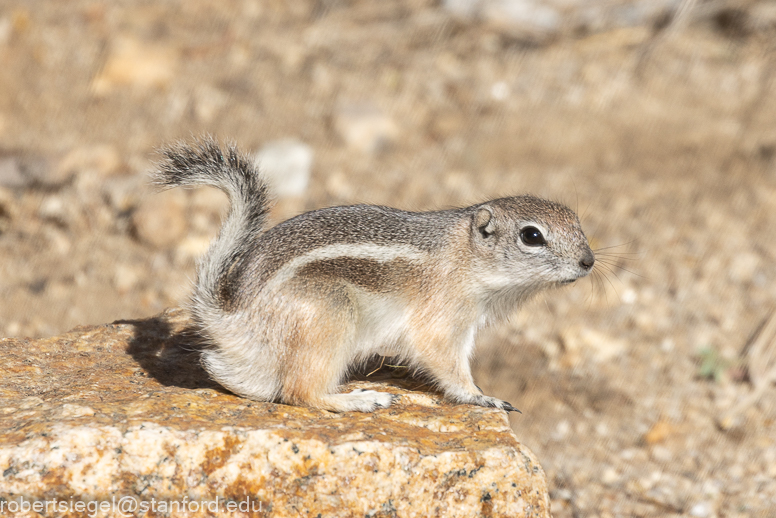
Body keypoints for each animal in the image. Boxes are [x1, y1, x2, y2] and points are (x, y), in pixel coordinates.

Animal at [156, 138, 596, 414]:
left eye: (576, 221)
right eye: (531, 236)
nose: (588, 261)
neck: (466, 255)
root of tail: (230, 315)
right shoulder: (443, 322)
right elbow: (448, 365)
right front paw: (482, 397)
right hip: (330, 316)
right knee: (299, 392)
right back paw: (360, 400)